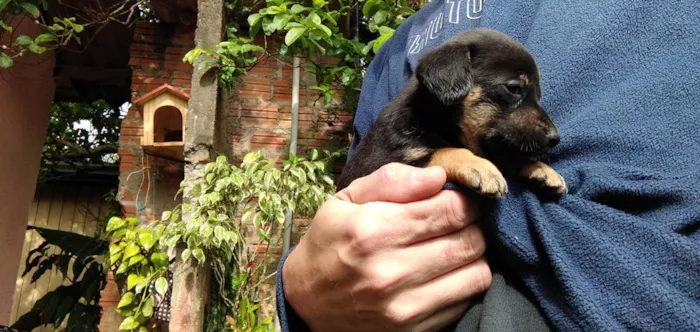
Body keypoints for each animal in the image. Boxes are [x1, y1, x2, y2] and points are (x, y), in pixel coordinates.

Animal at [336, 28, 568, 197]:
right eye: (514, 89)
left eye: (538, 95)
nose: (555, 138)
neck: (430, 118)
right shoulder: (382, 164)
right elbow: (444, 150)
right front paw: (481, 167)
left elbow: (504, 152)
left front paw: (542, 170)